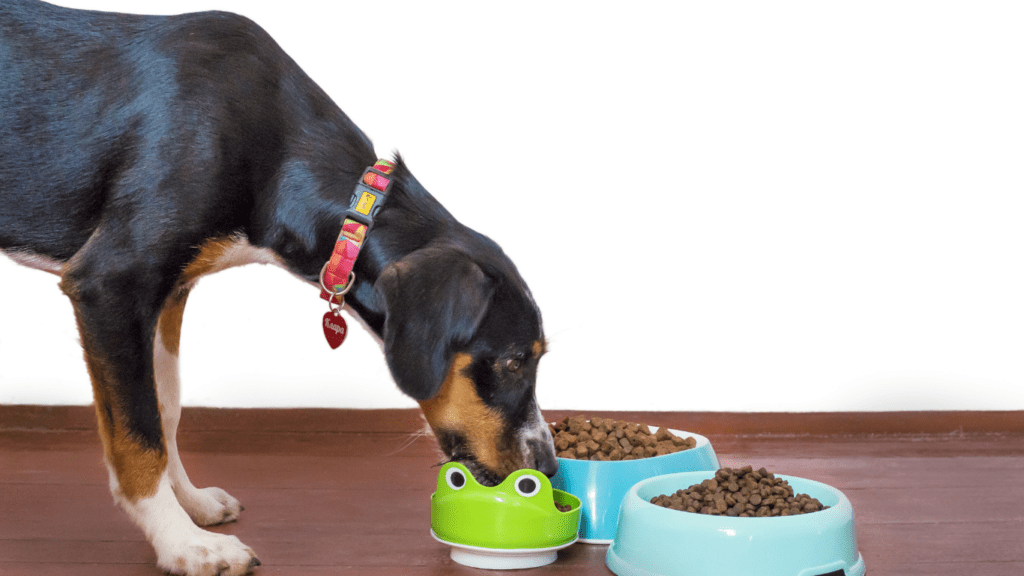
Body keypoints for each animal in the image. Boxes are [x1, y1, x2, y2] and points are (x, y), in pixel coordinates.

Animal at [0, 2, 557, 569]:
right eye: (513, 361)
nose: (548, 466)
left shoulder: (169, 293)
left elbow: (165, 407)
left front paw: (190, 504)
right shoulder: (111, 283)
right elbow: (139, 434)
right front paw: (182, 543)